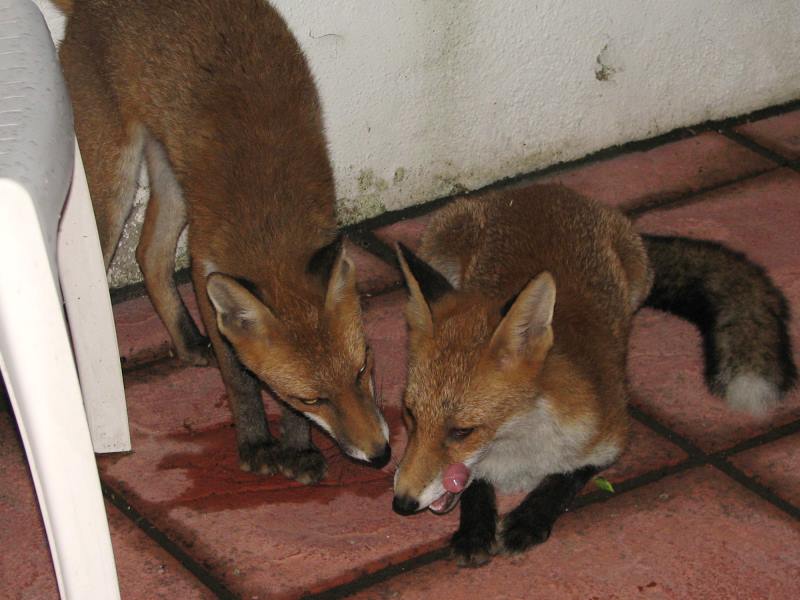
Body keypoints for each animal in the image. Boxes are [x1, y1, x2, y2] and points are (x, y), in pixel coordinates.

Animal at [53, 0, 390, 481]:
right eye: (313, 398)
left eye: (363, 368)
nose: (381, 454)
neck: (271, 224)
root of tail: (88, 7)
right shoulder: (204, 267)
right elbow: (239, 379)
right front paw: (256, 443)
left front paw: (297, 447)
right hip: (113, 186)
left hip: (173, 180)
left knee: (148, 253)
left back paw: (187, 340)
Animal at [391, 184, 796, 567]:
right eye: (410, 415)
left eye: (462, 431)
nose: (401, 504)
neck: (518, 452)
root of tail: (547, 190)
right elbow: (474, 487)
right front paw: (474, 531)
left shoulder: (612, 435)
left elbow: (567, 477)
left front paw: (529, 521)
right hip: (440, 239)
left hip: (635, 279)